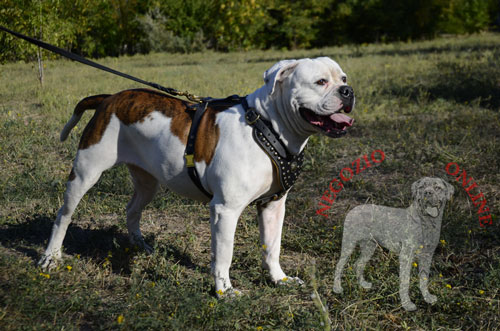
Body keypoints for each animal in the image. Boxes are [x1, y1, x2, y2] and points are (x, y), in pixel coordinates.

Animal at [40, 57, 356, 298]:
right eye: (320, 82)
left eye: (343, 77)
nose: (348, 91)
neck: (267, 126)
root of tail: (109, 98)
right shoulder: (225, 210)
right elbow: (224, 255)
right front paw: (225, 291)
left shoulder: (273, 206)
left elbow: (272, 247)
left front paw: (279, 278)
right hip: (85, 173)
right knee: (63, 215)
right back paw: (50, 257)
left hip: (147, 181)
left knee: (132, 209)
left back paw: (140, 246)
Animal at [334, 179, 456, 312]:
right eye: (422, 186)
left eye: (437, 187)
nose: (427, 193)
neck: (426, 222)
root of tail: (353, 209)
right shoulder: (406, 256)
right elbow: (405, 281)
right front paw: (407, 304)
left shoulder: (427, 256)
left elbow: (424, 279)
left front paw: (427, 297)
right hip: (349, 245)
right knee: (339, 265)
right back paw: (337, 288)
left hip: (369, 247)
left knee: (358, 264)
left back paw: (363, 284)